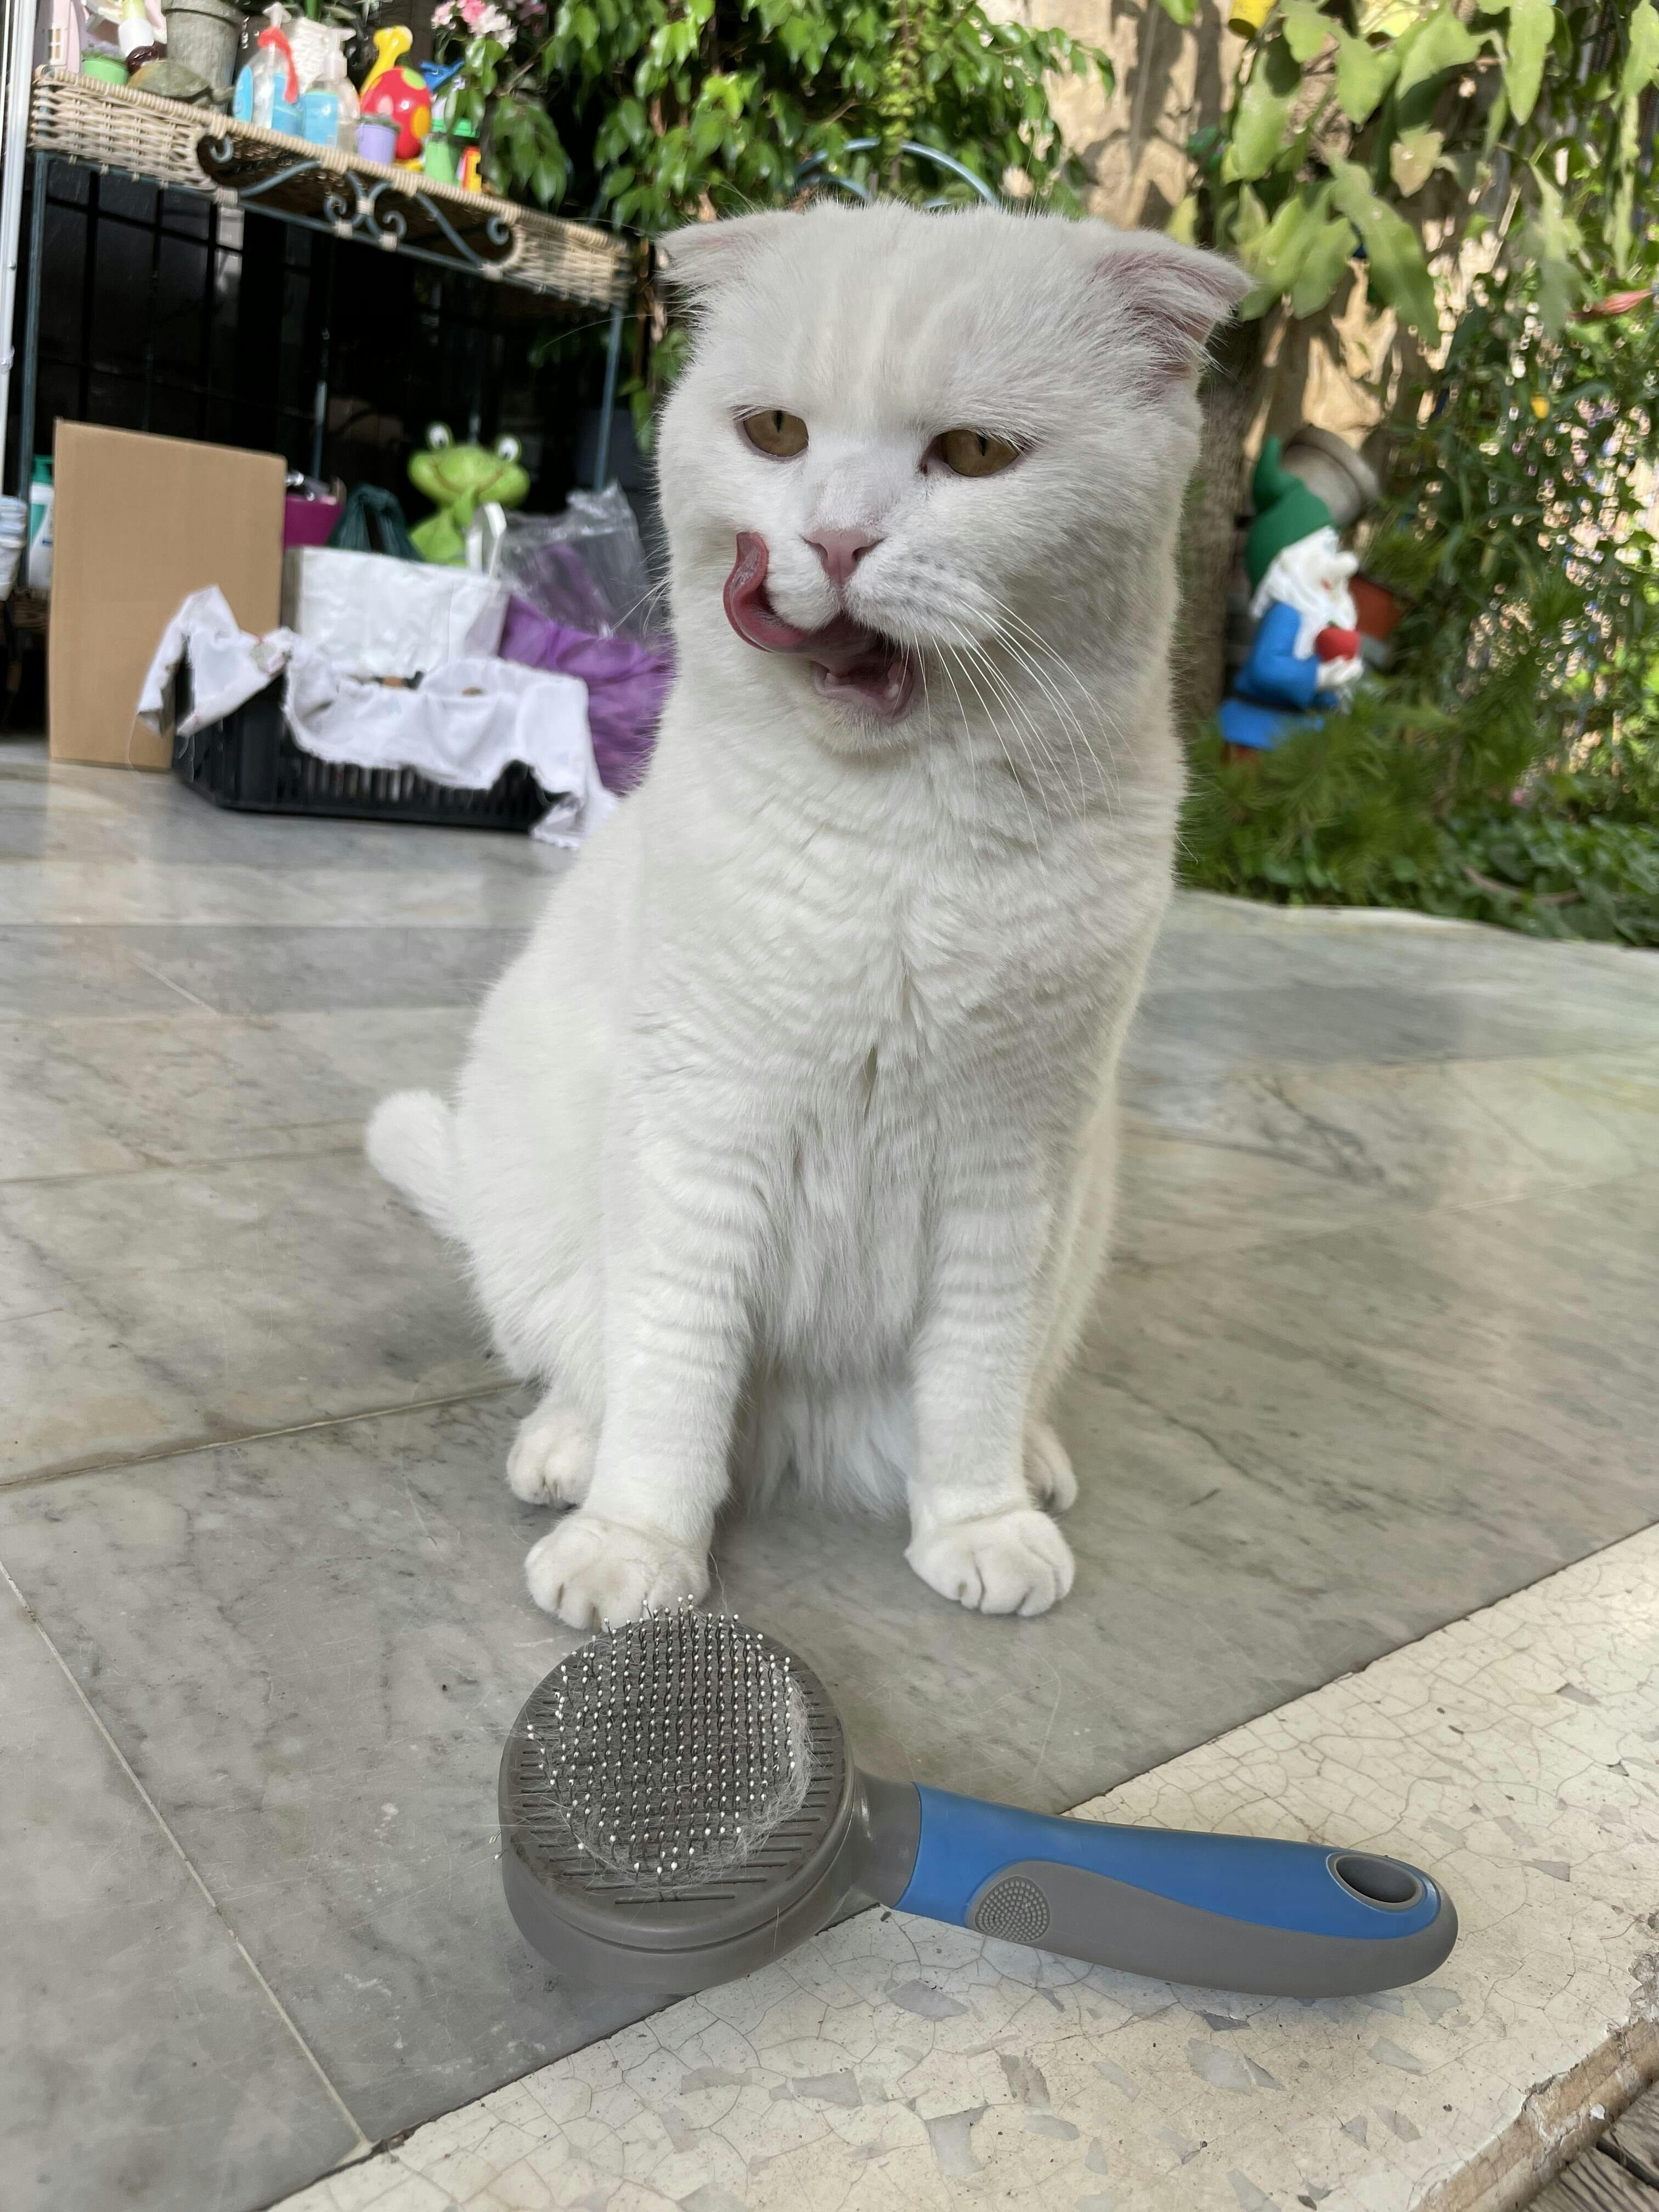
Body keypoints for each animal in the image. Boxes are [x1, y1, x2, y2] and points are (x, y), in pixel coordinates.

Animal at [367, 199, 1245, 1630]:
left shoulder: (1012, 1167)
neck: (903, 844)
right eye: (775, 432)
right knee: (588, 1363)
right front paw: (636, 1553)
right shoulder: (701, 1138)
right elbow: (672, 1374)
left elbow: (973, 1381)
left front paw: (980, 1522)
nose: (834, 542)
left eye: (976, 454)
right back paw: (567, 1453)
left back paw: (1036, 1464)